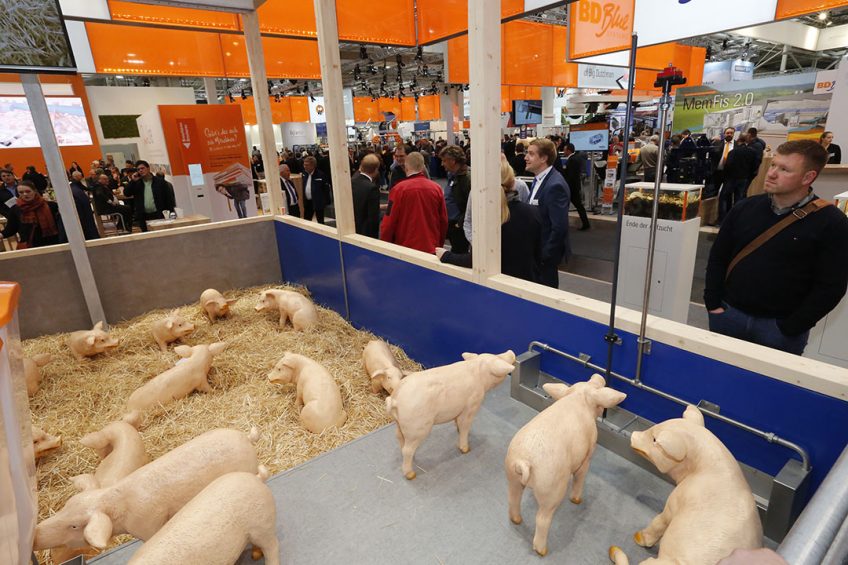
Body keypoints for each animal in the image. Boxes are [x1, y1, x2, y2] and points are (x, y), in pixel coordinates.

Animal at [386, 350, 516, 478]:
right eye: (497, 358)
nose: (511, 352)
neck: (479, 373)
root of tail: (395, 400)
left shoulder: (459, 410)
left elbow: (458, 423)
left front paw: (459, 430)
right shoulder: (470, 406)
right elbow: (464, 426)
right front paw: (466, 449)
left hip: (400, 424)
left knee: (399, 438)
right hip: (417, 428)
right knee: (407, 450)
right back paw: (411, 474)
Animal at [504, 374, 628, 556]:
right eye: (597, 386)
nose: (598, 375)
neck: (579, 397)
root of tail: (524, 461)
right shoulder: (588, 453)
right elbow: (580, 476)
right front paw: (577, 500)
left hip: (512, 475)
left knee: (513, 500)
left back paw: (517, 520)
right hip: (552, 489)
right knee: (542, 519)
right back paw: (543, 550)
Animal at [608, 406, 760, 564]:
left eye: (655, 439)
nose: (634, 435)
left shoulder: (676, 500)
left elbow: (660, 521)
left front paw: (638, 537)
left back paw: (613, 549)